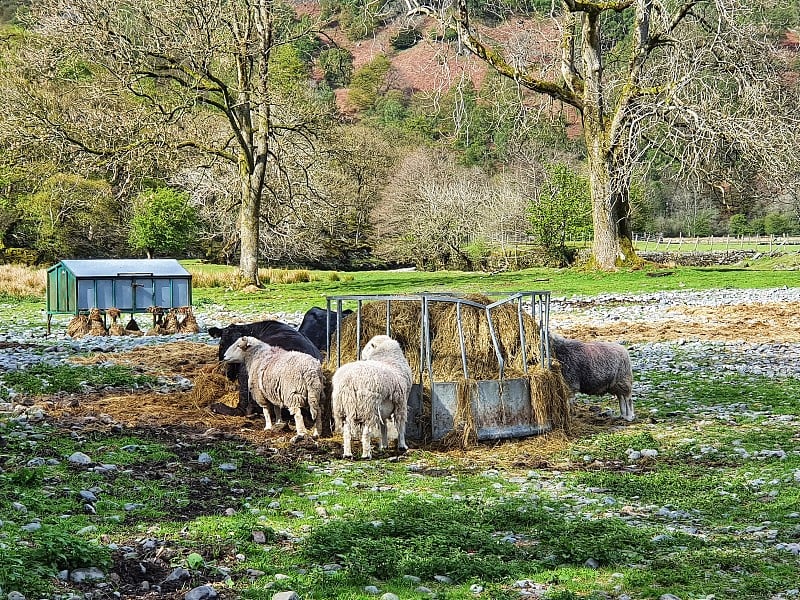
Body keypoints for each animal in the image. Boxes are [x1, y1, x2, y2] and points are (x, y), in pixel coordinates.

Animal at [332, 332, 412, 460]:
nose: (362, 356)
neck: (386, 358)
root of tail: (349, 380)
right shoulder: (401, 403)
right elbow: (400, 425)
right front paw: (402, 446)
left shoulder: (384, 407)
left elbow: (384, 425)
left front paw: (384, 445)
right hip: (368, 407)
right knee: (366, 432)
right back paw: (366, 454)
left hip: (343, 409)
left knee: (347, 432)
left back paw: (348, 453)